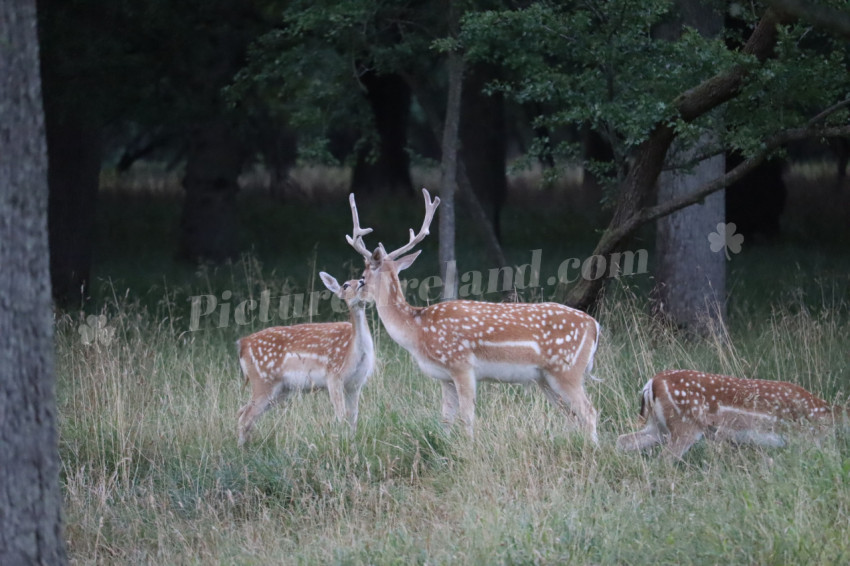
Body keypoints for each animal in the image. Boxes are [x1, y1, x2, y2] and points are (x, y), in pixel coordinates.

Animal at [235, 272, 375, 447]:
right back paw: (241, 449)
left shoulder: (356, 383)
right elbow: (341, 415)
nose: (362, 282)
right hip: (262, 380)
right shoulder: (333, 376)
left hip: (280, 389)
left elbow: (353, 417)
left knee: (244, 412)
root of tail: (243, 344)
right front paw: (342, 444)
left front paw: (352, 444)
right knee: (245, 416)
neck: (354, 352)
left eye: (361, 278)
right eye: (345, 285)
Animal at [345, 188, 602, 442]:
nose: (352, 290)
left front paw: (469, 447)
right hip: (545, 378)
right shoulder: (445, 377)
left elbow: (466, 417)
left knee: (589, 412)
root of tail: (594, 326)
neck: (417, 331)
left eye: (363, 278)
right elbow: (446, 420)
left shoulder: (462, 365)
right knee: (572, 416)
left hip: (566, 369)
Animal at [616, 369, 846, 460]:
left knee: (624, 440)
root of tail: (651, 383)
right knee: (664, 459)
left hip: (659, 427)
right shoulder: (806, 440)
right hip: (684, 425)